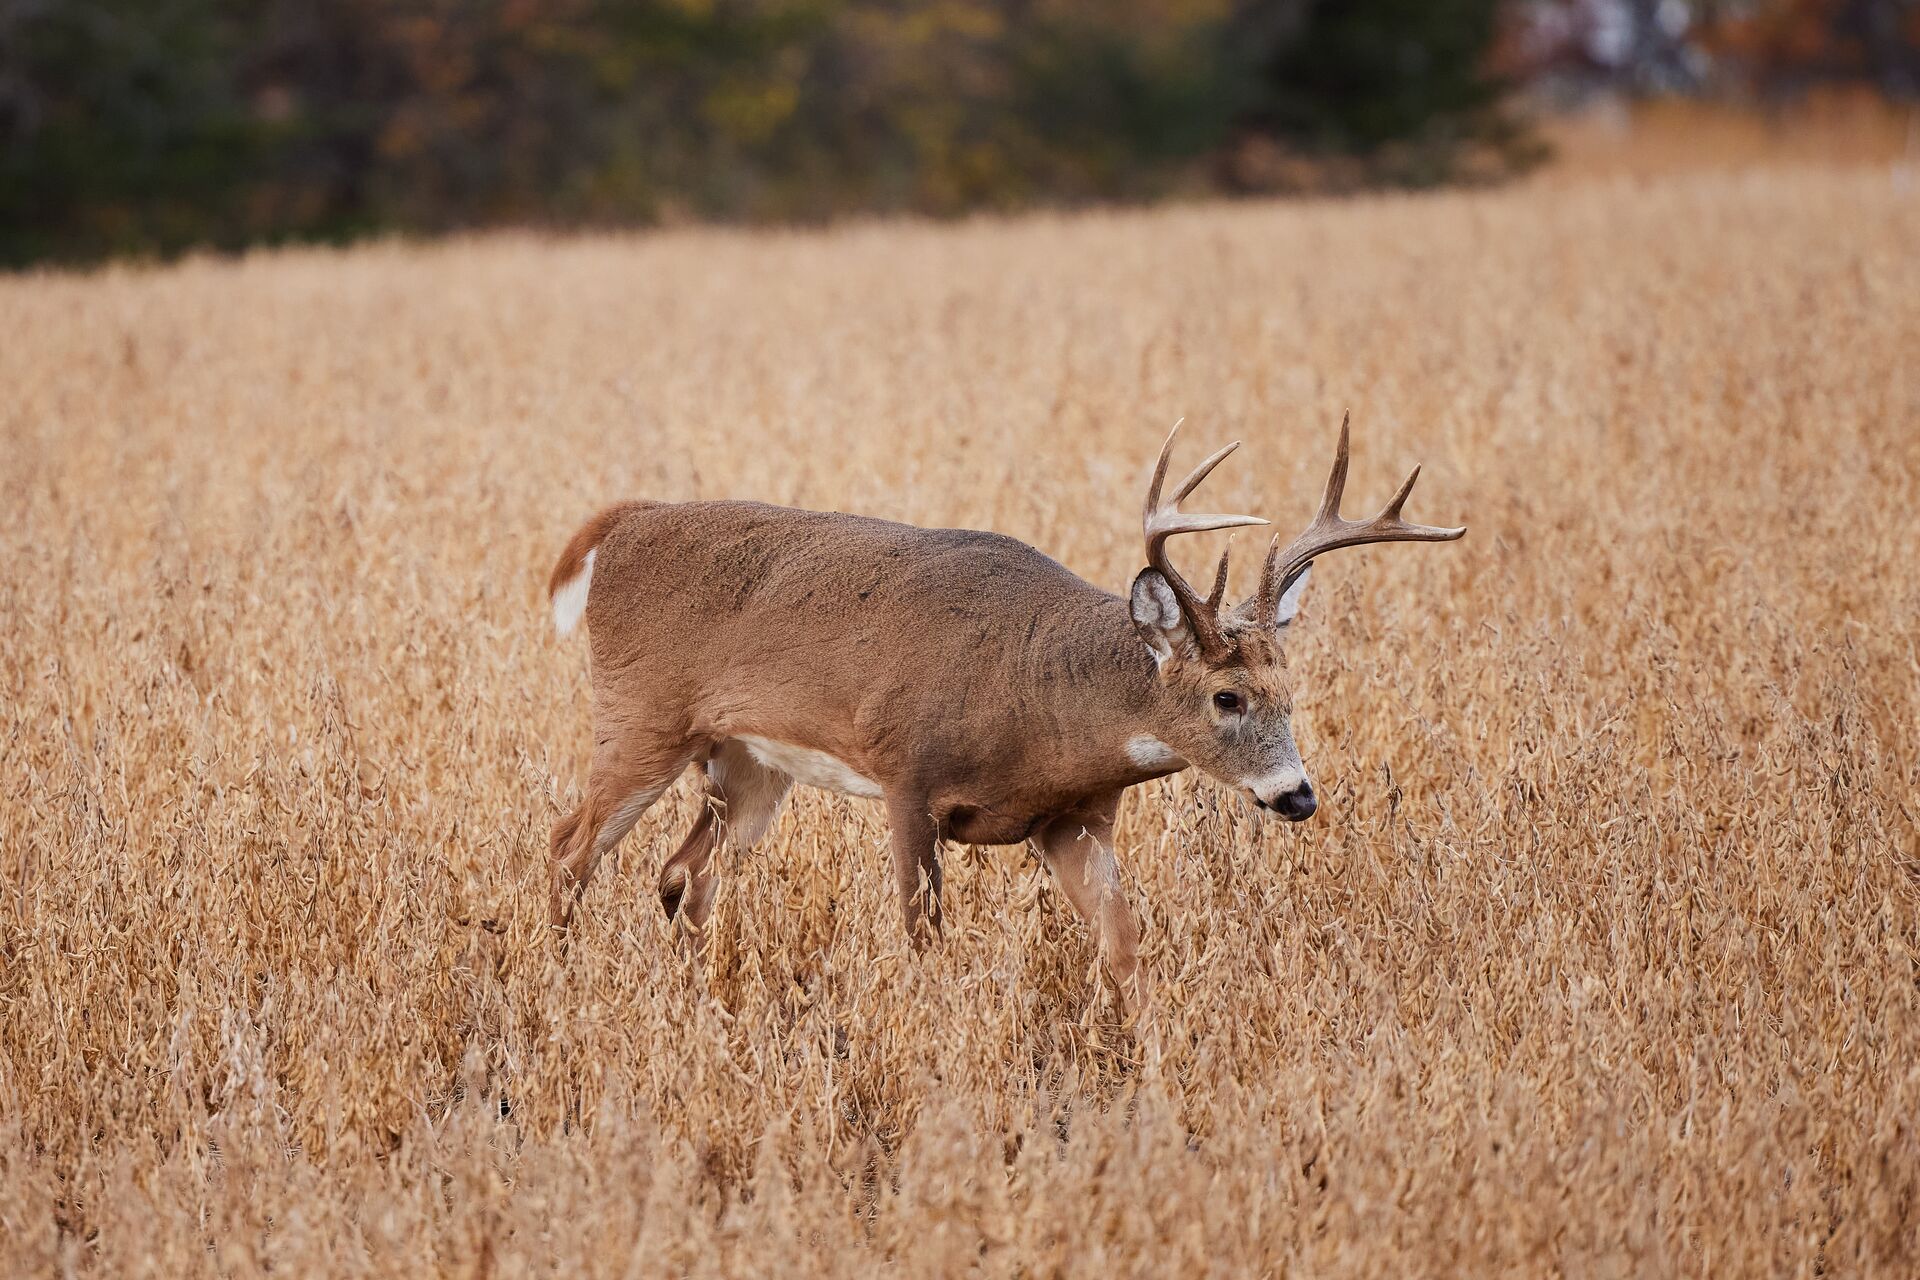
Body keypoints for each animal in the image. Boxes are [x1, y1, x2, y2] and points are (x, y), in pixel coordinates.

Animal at [549, 416, 1459, 1013]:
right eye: (1225, 697)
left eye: (1290, 694)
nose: (1296, 795)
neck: (1039, 700)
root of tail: (620, 523)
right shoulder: (907, 777)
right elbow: (922, 937)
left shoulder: (1075, 818)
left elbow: (1126, 946)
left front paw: (1142, 1047)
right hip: (641, 717)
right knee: (570, 847)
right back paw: (558, 982)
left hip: (747, 762)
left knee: (684, 874)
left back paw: (695, 1002)